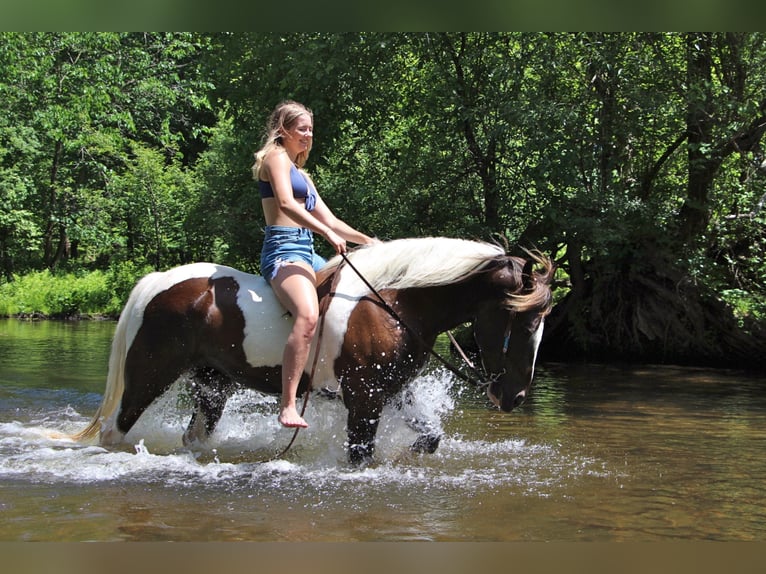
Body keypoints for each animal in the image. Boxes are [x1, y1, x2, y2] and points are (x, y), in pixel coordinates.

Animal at [69, 238, 556, 468]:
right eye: (524, 321)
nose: (514, 397)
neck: (394, 303)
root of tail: (158, 281)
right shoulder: (364, 400)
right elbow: (360, 455)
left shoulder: (394, 390)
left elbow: (430, 437)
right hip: (149, 375)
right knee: (113, 431)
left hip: (212, 385)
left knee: (195, 437)